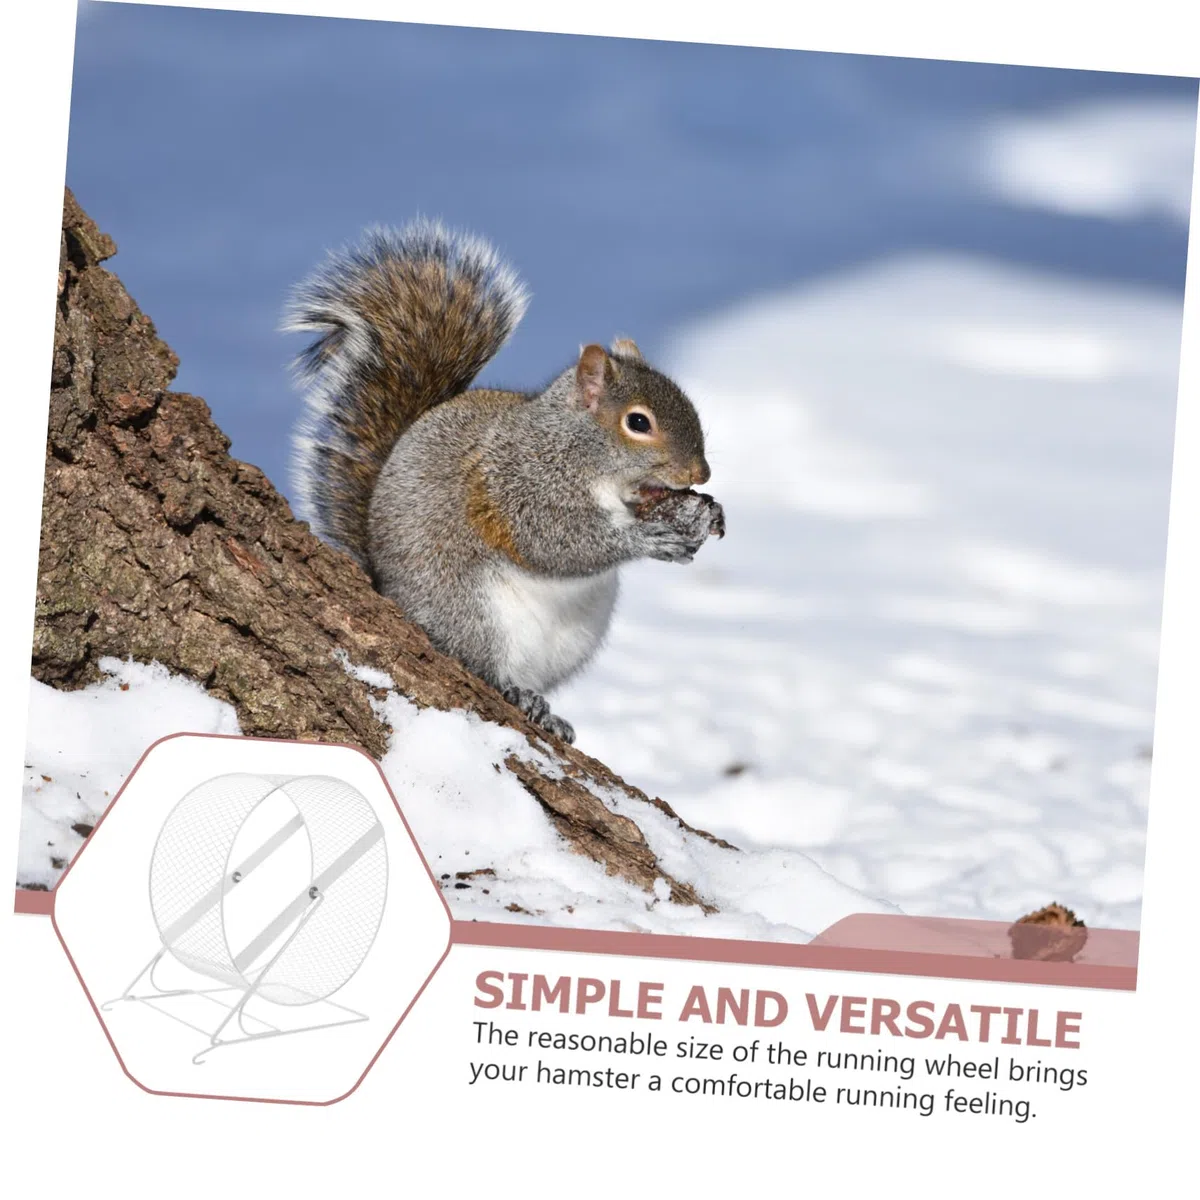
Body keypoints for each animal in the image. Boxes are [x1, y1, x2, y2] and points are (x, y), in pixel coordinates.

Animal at [285, 220, 724, 744]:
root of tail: (385, 590)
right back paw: (514, 690)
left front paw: (707, 516)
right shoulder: (518, 484)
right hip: (469, 611)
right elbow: (554, 542)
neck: (576, 449)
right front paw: (649, 538)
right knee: (480, 664)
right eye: (638, 423)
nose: (701, 473)